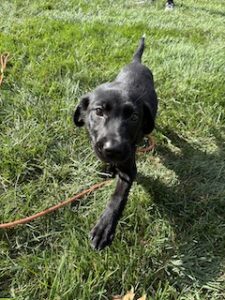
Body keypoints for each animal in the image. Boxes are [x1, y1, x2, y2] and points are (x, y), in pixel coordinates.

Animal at [74, 36, 158, 250]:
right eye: (99, 111)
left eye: (134, 117)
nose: (113, 148)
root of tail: (136, 62)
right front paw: (107, 167)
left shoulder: (129, 168)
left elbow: (117, 198)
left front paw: (104, 228)